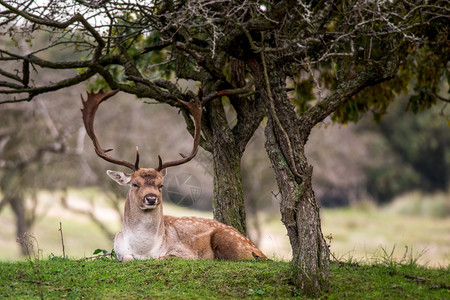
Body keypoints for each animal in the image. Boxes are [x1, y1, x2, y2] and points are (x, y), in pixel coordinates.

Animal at [81, 90, 266, 262]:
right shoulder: (119, 251)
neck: (143, 251)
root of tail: (257, 248)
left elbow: (163, 257)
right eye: (134, 184)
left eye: (160, 184)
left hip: (232, 241)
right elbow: (128, 258)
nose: (151, 198)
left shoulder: (185, 253)